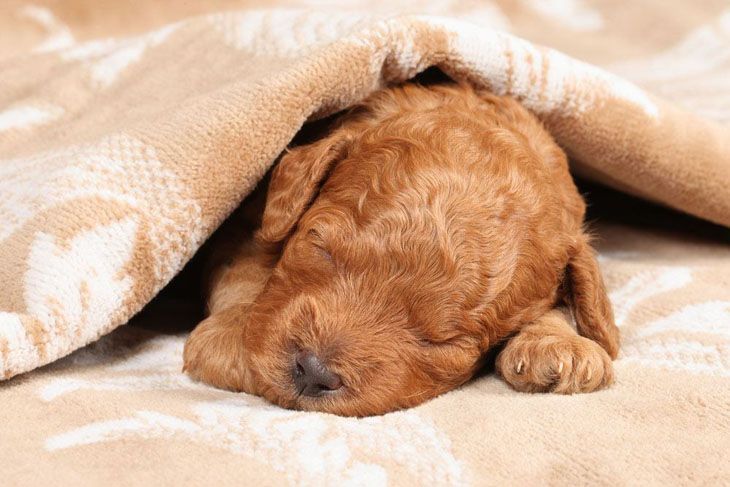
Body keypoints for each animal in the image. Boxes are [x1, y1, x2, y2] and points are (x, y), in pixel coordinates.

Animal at [183, 82, 620, 418]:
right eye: (320, 247)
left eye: (443, 341)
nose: (314, 370)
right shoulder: (247, 221)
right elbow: (246, 264)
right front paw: (231, 332)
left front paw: (559, 345)